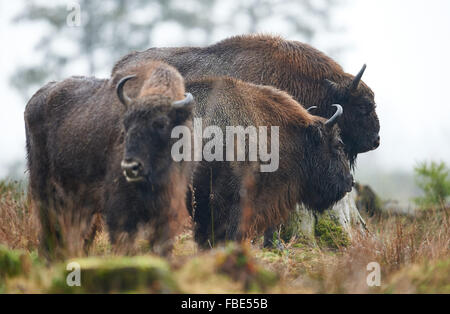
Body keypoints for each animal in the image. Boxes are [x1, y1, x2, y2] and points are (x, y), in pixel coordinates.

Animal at [24, 61, 193, 258]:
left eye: (161, 123)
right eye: (125, 124)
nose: (130, 167)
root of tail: (34, 101)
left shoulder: (167, 207)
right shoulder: (119, 208)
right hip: (44, 192)